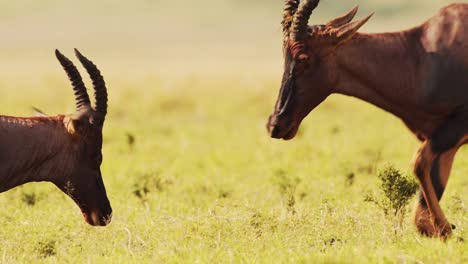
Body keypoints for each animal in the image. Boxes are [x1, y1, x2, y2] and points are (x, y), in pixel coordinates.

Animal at [266, 0, 468, 239]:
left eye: (303, 57)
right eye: (284, 54)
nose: (276, 124)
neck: (421, 55)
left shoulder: (455, 127)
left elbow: (419, 163)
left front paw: (447, 228)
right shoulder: (441, 140)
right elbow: (422, 217)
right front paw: (445, 229)